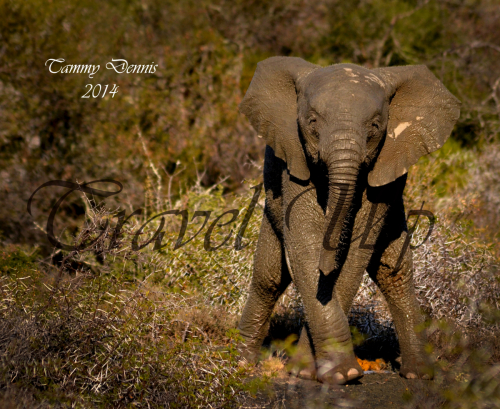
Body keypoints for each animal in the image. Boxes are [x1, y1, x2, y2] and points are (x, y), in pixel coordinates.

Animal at [238, 55, 460, 384]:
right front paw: (337, 374)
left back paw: (418, 374)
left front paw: (329, 373)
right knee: (269, 279)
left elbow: (353, 255)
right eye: (313, 123)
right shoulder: (294, 161)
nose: (325, 265)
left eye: (376, 127)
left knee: (394, 273)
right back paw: (241, 363)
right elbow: (304, 247)